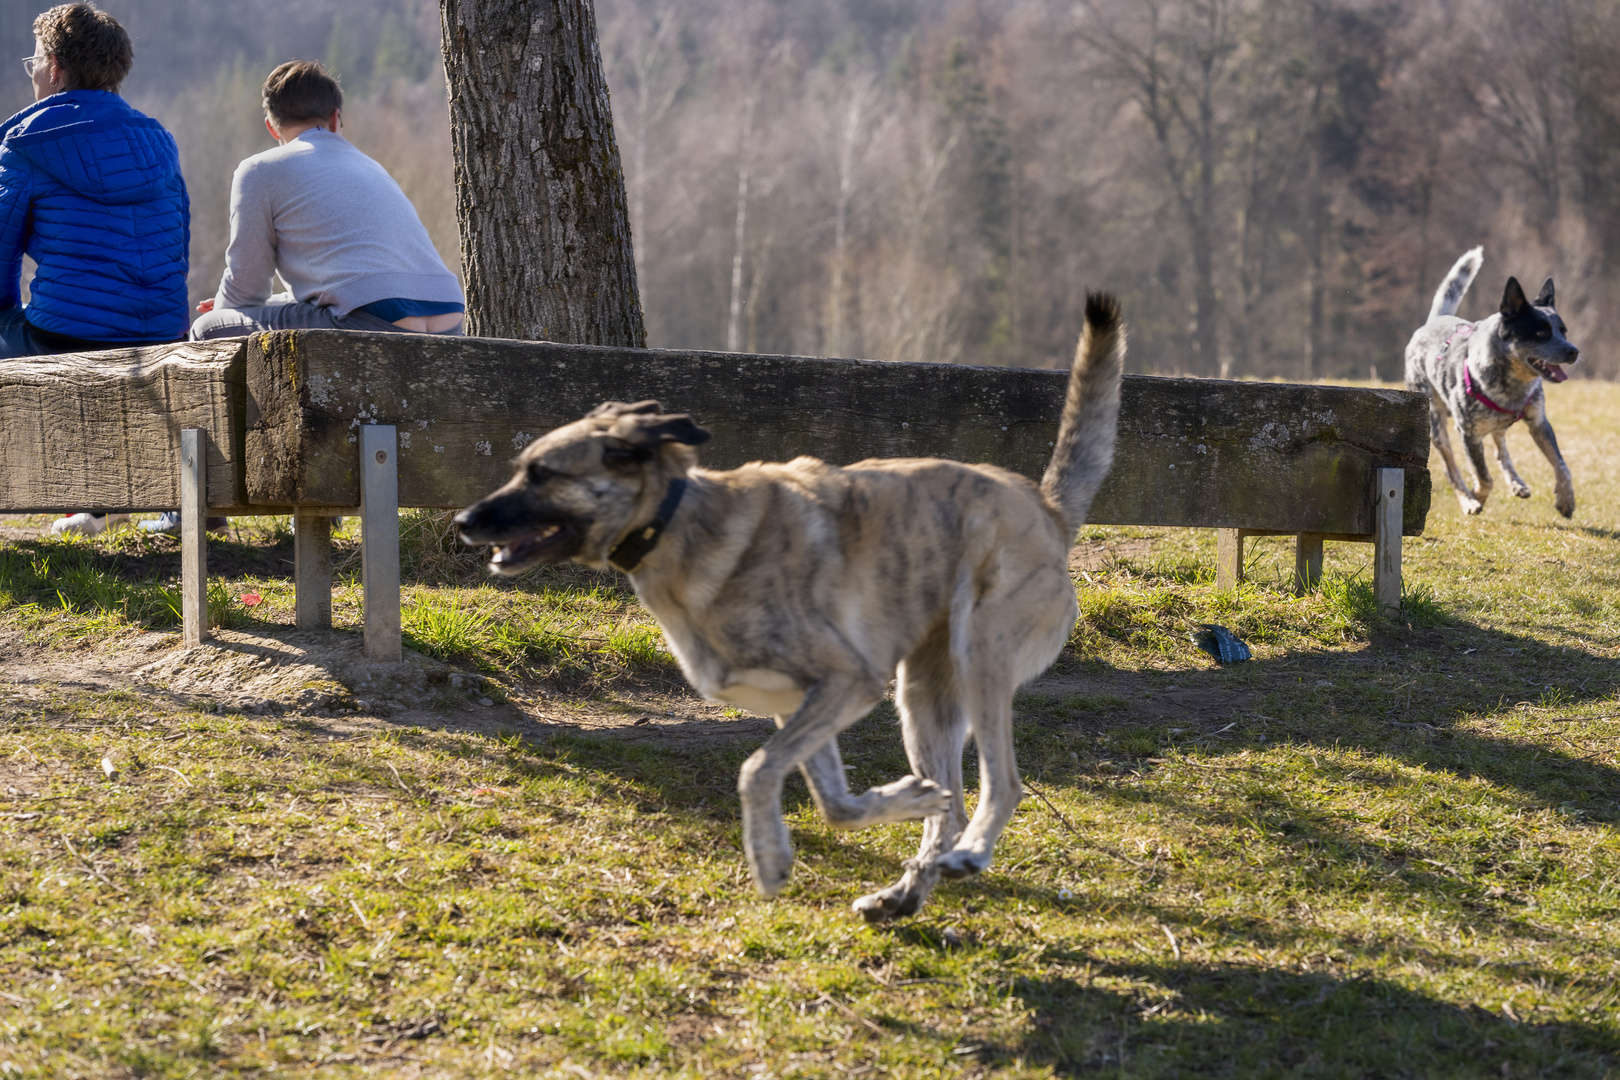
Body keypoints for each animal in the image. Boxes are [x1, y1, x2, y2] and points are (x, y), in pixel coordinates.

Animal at [456, 296, 1127, 919]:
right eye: (521, 469)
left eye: (541, 473)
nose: (463, 520)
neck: (680, 523)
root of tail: (1045, 509)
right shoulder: (801, 702)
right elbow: (834, 800)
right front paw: (899, 801)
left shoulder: (847, 680)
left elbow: (756, 770)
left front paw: (769, 856)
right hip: (922, 698)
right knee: (953, 805)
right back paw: (906, 892)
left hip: (979, 657)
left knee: (1004, 785)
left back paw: (971, 854)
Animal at [1406, 247, 1581, 518]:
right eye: (1541, 332)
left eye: (1563, 331)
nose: (1573, 351)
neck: (1512, 386)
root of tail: (1434, 320)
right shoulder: (1468, 433)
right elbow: (1483, 477)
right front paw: (1475, 497)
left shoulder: (1539, 422)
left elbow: (1562, 465)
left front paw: (1565, 500)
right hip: (1436, 423)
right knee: (1451, 468)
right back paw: (1467, 500)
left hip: (1495, 425)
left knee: (1501, 446)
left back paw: (1517, 483)